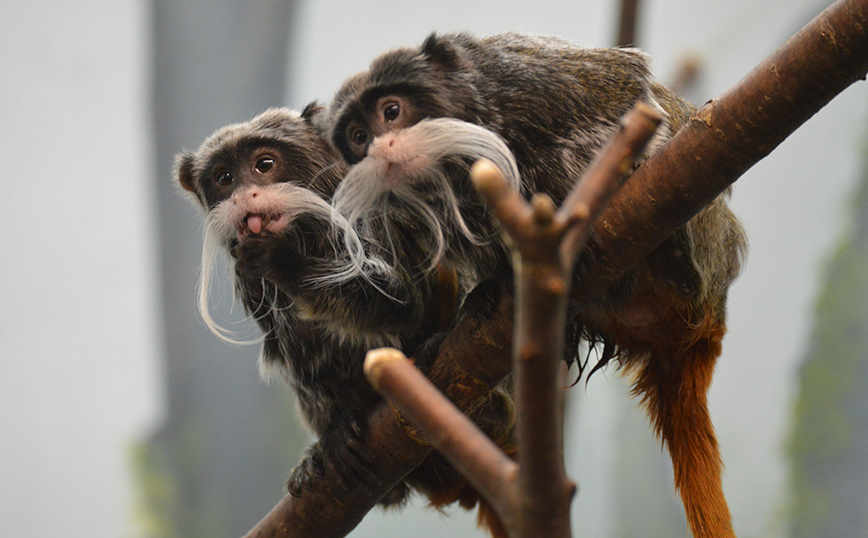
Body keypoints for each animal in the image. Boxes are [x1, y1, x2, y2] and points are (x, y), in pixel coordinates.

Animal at [173, 105, 520, 532]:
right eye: (224, 179)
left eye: (264, 165)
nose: (244, 197)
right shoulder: (253, 286)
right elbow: (302, 362)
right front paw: (334, 429)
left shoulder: (382, 211)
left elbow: (403, 301)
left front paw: (286, 261)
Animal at [322, 33, 748, 536]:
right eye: (358, 137)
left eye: (392, 111)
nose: (382, 147)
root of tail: (710, 316)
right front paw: (487, 289)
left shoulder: (525, 75)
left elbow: (629, 86)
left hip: (707, 245)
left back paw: (669, 258)